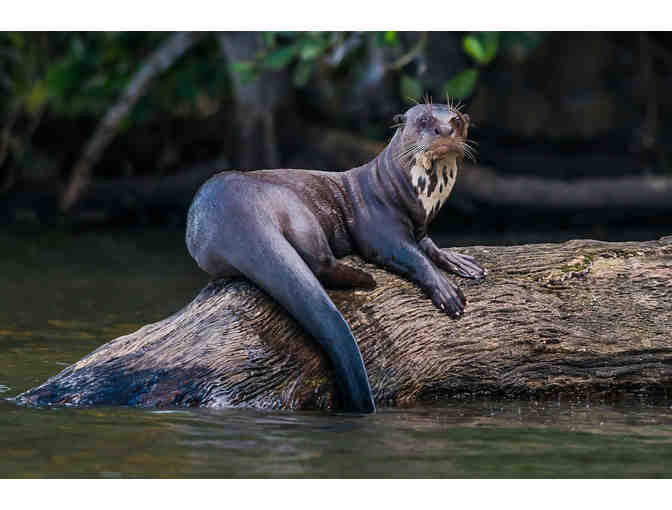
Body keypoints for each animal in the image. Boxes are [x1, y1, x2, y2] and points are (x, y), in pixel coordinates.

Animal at [186, 101, 486, 412]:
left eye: (456, 119)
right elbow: (412, 256)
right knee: (319, 262)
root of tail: (236, 211)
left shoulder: (419, 226)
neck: (406, 193)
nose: (445, 130)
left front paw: (459, 261)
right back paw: (365, 279)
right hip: (297, 209)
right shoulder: (379, 229)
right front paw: (446, 291)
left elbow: (428, 245)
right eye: (424, 120)